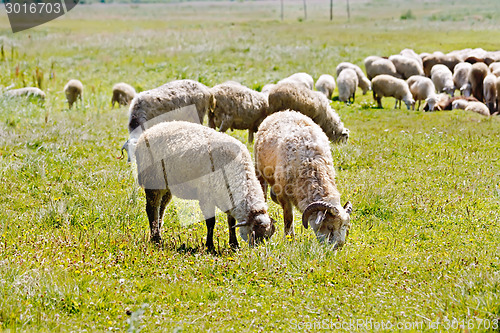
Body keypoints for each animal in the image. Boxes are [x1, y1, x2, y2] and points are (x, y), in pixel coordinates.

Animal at [136, 120, 278, 248]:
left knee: (161, 208)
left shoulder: (227, 198)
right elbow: (211, 222)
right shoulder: (206, 197)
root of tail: (147, 132)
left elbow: (231, 222)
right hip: (153, 181)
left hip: (166, 186)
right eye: (254, 234)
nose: (258, 252)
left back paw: (157, 233)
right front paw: (210, 246)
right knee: (152, 209)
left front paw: (234, 244)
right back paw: (156, 239)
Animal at [256, 110, 354, 248]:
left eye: (345, 226)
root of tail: (284, 111)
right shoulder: (284, 195)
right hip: (259, 171)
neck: (312, 165)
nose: (338, 247)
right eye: (329, 227)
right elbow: (288, 218)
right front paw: (289, 239)